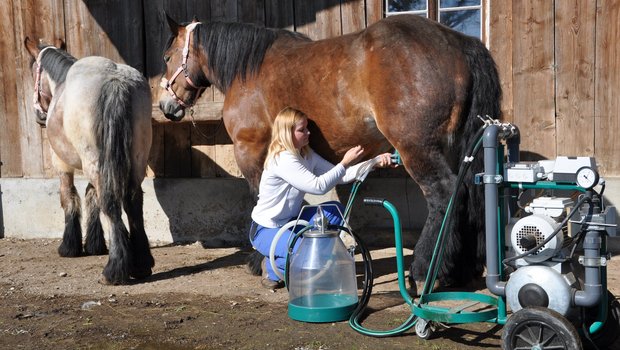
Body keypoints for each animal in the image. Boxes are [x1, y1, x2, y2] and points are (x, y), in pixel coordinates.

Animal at [25, 37, 154, 284]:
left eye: (33, 69)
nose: (39, 116)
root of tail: (115, 81)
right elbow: (90, 195)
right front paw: (95, 244)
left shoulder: (61, 163)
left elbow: (69, 197)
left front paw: (69, 246)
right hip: (134, 161)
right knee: (133, 204)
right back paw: (141, 263)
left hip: (94, 162)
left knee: (111, 205)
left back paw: (114, 269)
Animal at [157, 13, 502, 288]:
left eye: (166, 56)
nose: (165, 106)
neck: (250, 70)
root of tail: (458, 43)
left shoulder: (251, 151)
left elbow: (260, 205)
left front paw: (260, 261)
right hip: (457, 149)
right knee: (467, 192)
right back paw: (461, 270)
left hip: (418, 149)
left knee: (444, 195)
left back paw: (423, 270)